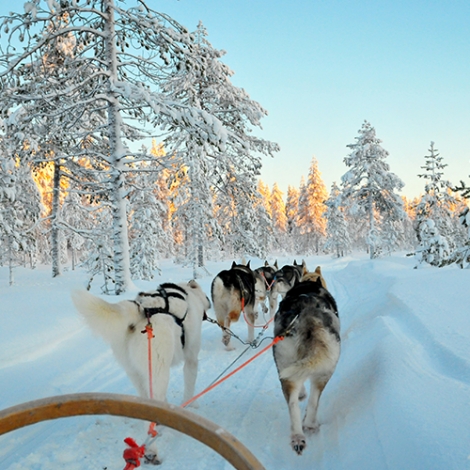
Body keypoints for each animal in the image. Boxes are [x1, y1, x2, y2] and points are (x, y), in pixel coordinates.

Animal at [71, 280, 209, 464]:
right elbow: (190, 386)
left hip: (135, 373)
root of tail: (140, 310)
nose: (209, 301)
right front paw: (191, 405)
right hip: (158, 372)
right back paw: (152, 451)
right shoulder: (191, 359)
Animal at [272, 268, 342, 456]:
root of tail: (308, 315)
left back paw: (299, 435)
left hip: (292, 370)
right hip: (324, 372)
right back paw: (307, 426)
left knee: (295, 403)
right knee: (313, 398)